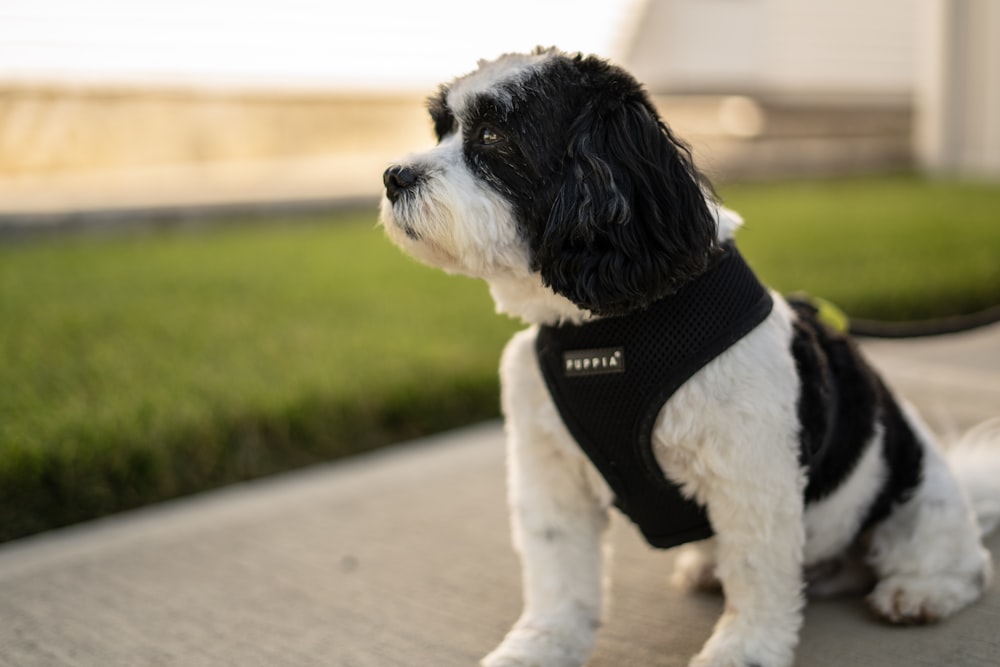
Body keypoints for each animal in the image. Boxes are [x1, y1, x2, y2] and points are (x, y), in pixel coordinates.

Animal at [378, 47, 1000, 667]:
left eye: (491, 136)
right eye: (442, 129)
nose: (393, 176)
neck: (607, 329)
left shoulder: (752, 474)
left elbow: (756, 575)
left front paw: (742, 651)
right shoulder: (549, 473)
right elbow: (557, 574)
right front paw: (539, 646)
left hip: (917, 500)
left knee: (964, 566)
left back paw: (921, 591)